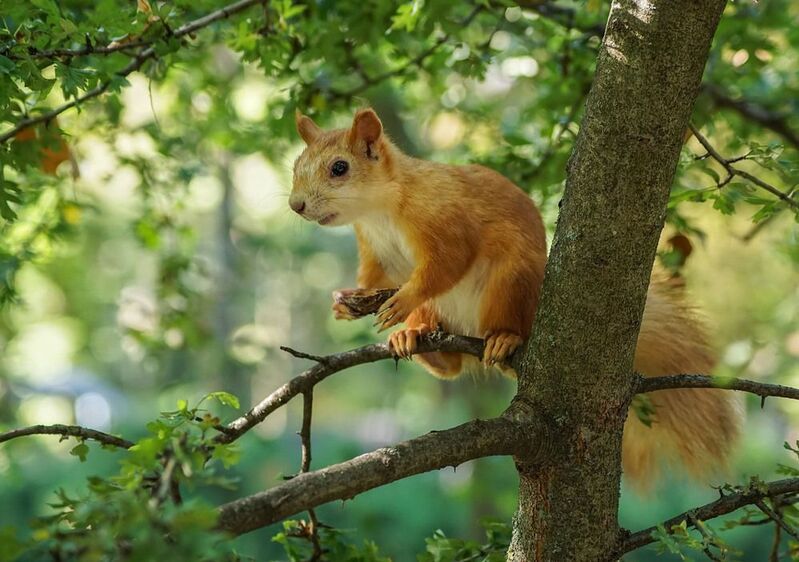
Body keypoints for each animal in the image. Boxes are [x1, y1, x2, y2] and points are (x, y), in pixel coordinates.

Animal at [289, 107, 742, 488]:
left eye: (339, 168)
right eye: (295, 167)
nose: (295, 205)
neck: (380, 209)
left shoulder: (443, 221)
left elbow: (447, 263)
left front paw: (402, 299)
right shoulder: (375, 251)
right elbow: (373, 278)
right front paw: (344, 303)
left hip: (510, 283)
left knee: (499, 329)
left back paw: (503, 340)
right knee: (452, 365)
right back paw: (417, 338)